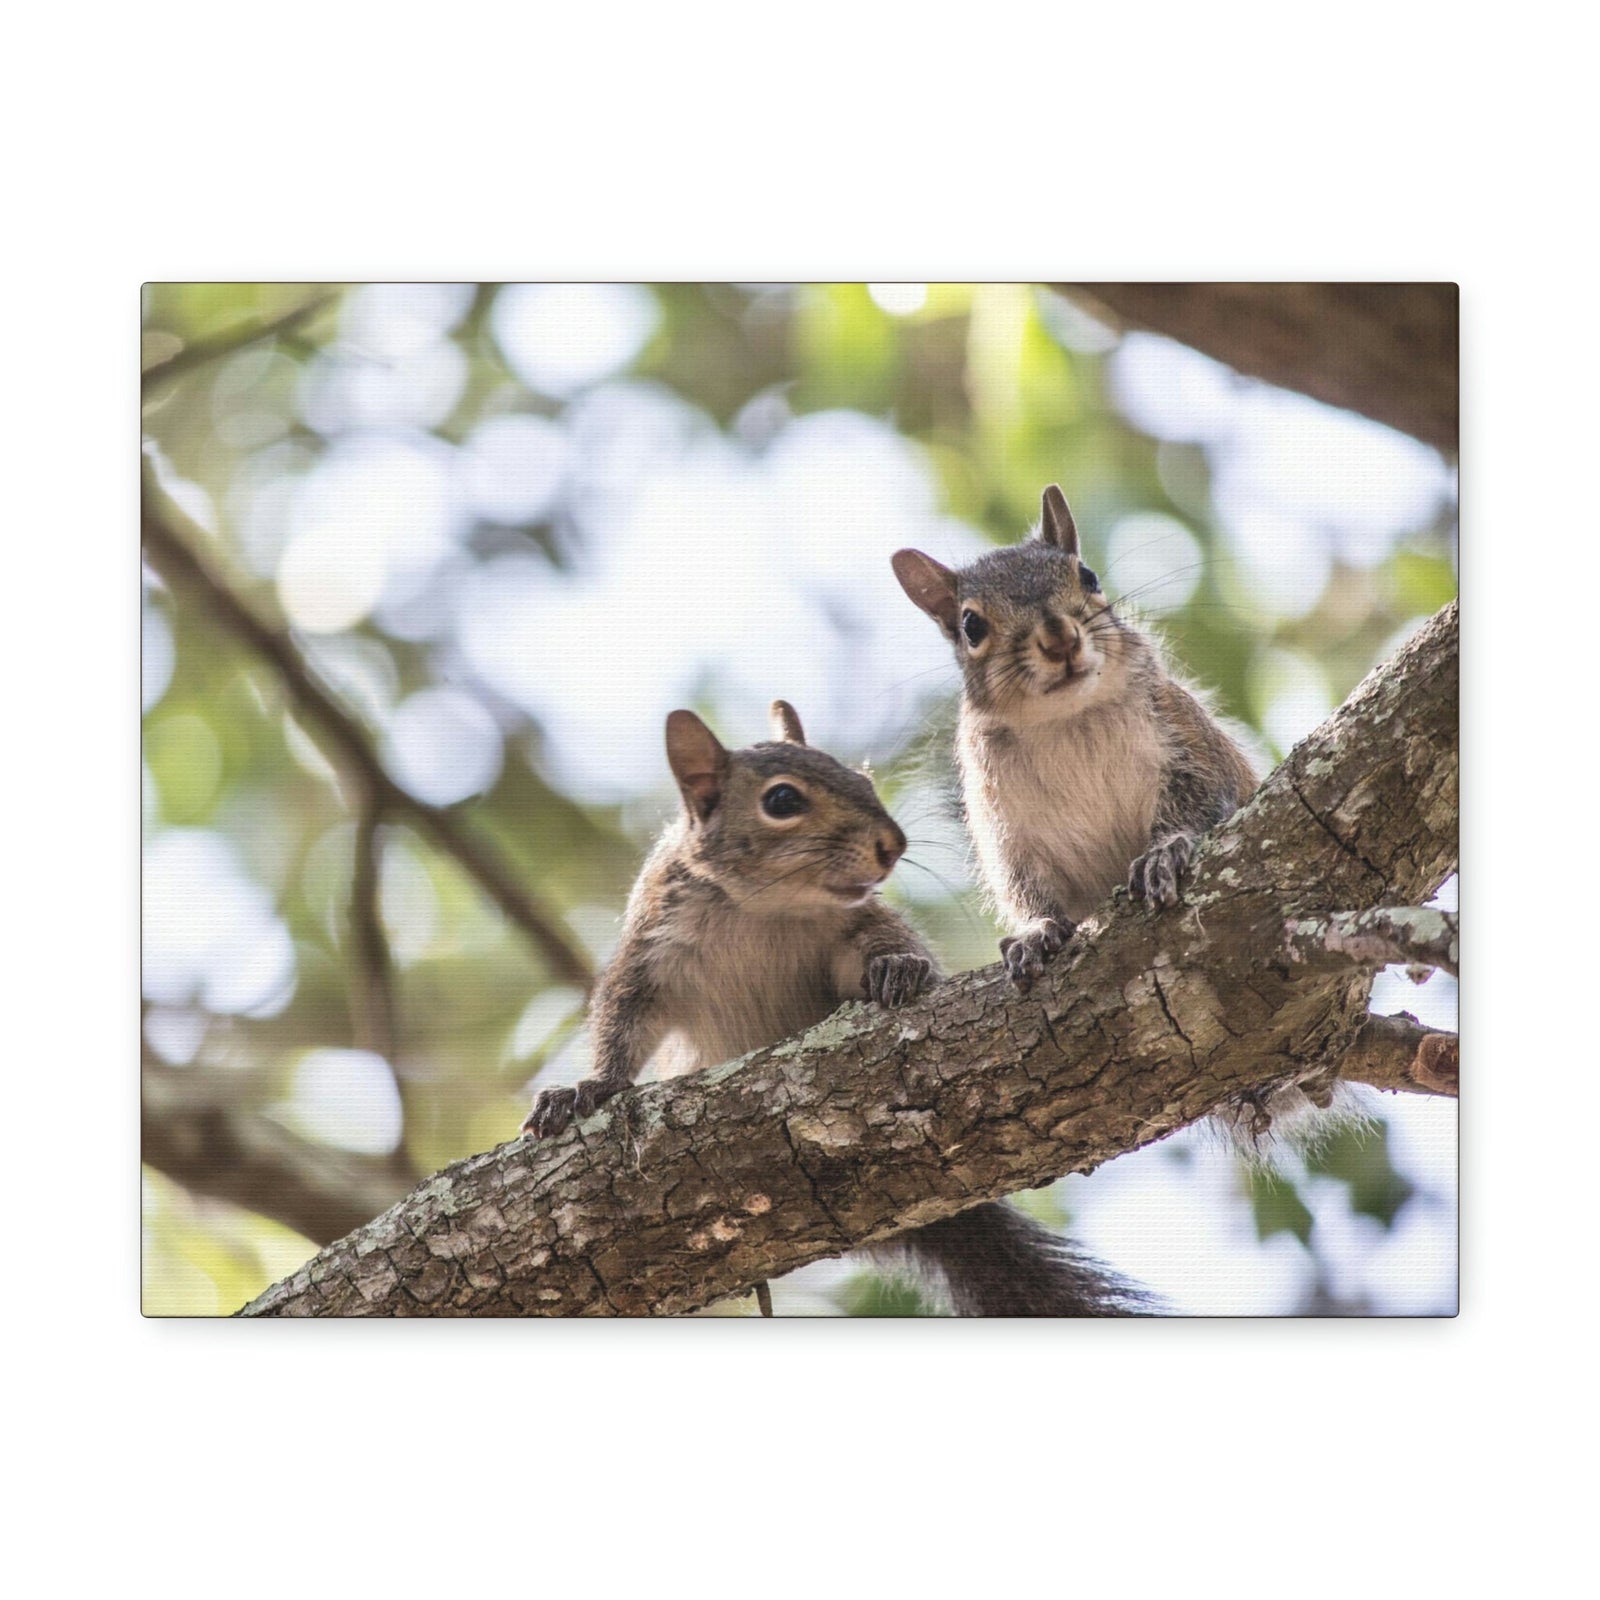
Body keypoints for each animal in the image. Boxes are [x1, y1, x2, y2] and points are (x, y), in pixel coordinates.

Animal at [521, 699, 1150, 1316]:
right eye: (782, 800)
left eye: (864, 781)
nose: (893, 845)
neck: (764, 909)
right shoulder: (651, 949)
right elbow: (621, 1022)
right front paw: (588, 1089)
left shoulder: (855, 925)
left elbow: (881, 951)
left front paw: (898, 968)